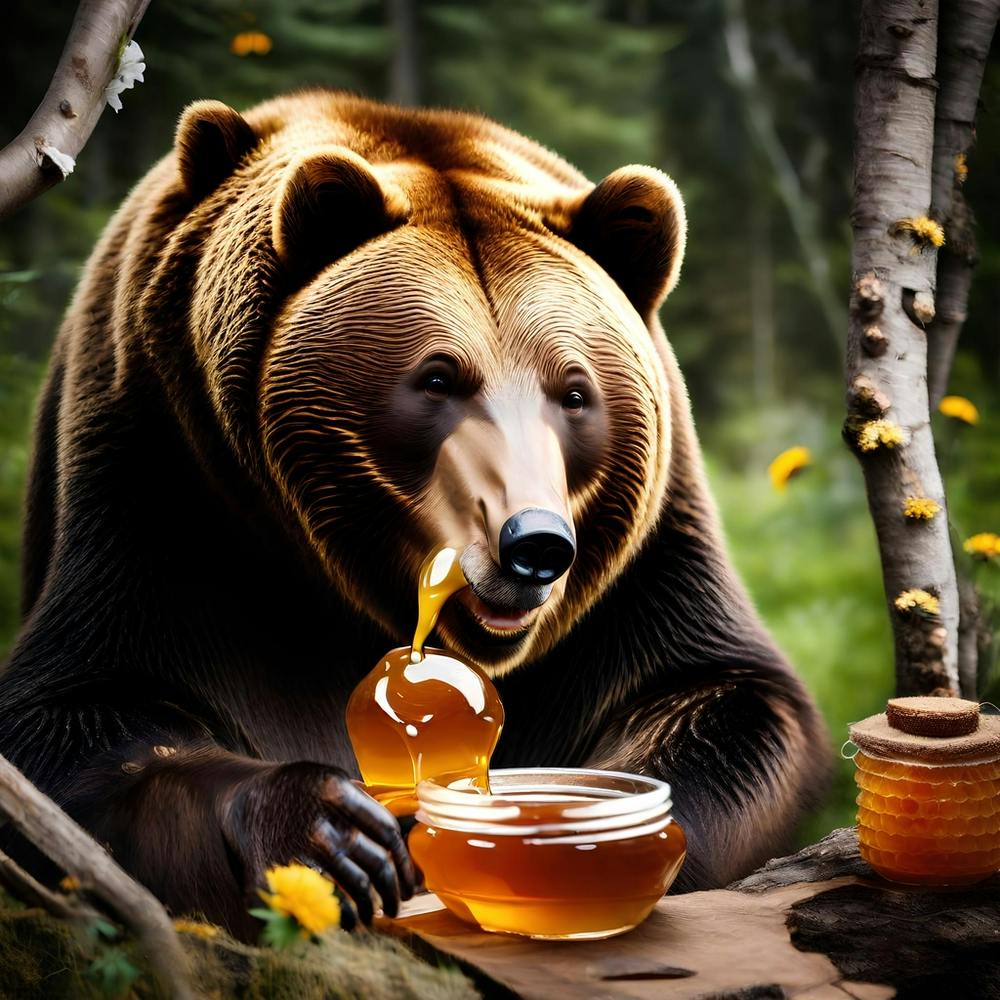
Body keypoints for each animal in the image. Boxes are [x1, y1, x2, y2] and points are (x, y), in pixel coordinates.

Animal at [0, 91, 830, 940]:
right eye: (437, 378)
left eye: (574, 390)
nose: (533, 545)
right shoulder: (156, 482)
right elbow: (81, 719)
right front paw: (335, 834)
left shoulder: (642, 563)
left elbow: (725, 697)